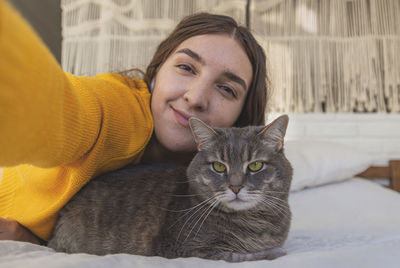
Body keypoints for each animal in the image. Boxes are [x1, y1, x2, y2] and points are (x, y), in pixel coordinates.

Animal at [48, 115, 292, 262]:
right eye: (219, 166)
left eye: (255, 165)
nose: (235, 186)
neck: (258, 223)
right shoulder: (188, 249)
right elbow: (241, 255)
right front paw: (273, 252)